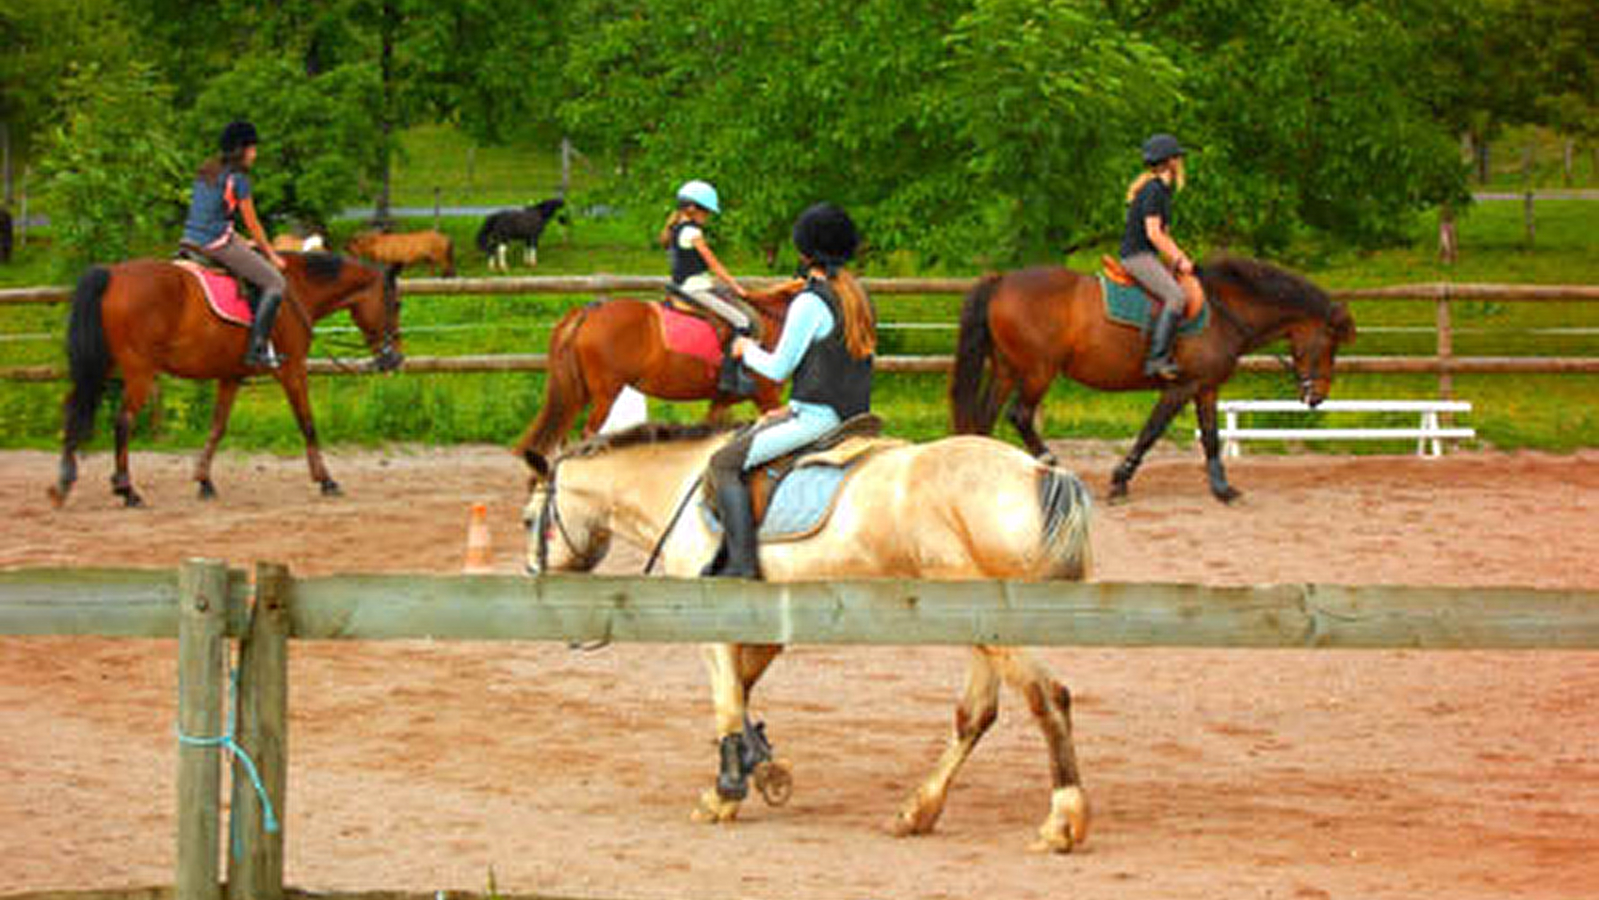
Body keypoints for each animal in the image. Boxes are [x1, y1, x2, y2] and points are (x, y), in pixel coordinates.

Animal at [49, 252, 402, 508]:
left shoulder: (230, 376)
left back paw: (64, 482)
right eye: (396, 304)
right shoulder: (292, 371)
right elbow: (307, 423)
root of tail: (112, 274)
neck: (298, 290)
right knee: (123, 421)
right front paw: (326, 480)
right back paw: (127, 490)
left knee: (73, 406)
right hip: (140, 371)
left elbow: (218, 426)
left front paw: (204, 481)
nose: (395, 359)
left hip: (104, 365)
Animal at [511, 282, 805, 463]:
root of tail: (590, 311)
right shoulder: (767, 394)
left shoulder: (722, 400)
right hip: (606, 394)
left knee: (562, 435)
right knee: (588, 434)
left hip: (578, 393)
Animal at [524, 425, 1100, 856]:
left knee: (1047, 698)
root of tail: (1039, 472)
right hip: (978, 626)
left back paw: (1062, 823)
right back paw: (917, 810)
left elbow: (726, 703)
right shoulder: (766, 627)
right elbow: (742, 696)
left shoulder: (716, 622)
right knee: (976, 715)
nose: (533, 579)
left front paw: (726, 793)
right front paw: (759, 768)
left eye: (530, 520)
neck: (681, 490)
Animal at [953, 257, 1355, 505]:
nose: (1319, 397)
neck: (1224, 310)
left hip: (1007, 369)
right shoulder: (1180, 387)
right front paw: (1119, 481)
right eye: (1329, 344)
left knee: (985, 420)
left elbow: (1211, 437)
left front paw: (1223, 490)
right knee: (1019, 415)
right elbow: (1151, 432)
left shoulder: (1206, 387)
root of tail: (1002, 281)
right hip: (1038, 370)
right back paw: (1051, 464)